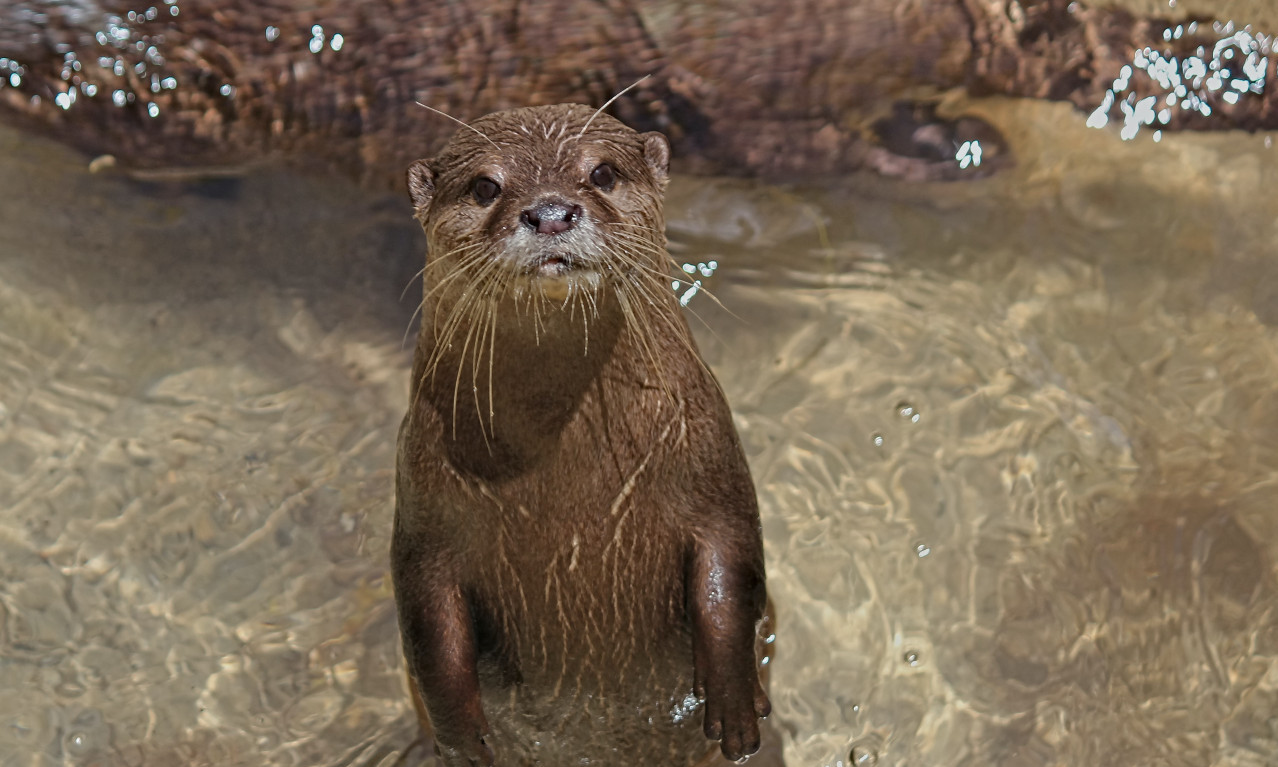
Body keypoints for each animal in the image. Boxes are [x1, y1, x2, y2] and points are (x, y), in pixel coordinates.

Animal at [388, 103, 771, 767]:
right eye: (485, 186)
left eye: (603, 173)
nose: (550, 212)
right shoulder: (421, 511)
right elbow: (430, 630)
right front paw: (464, 740)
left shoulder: (713, 464)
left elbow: (731, 576)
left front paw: (733, 710)